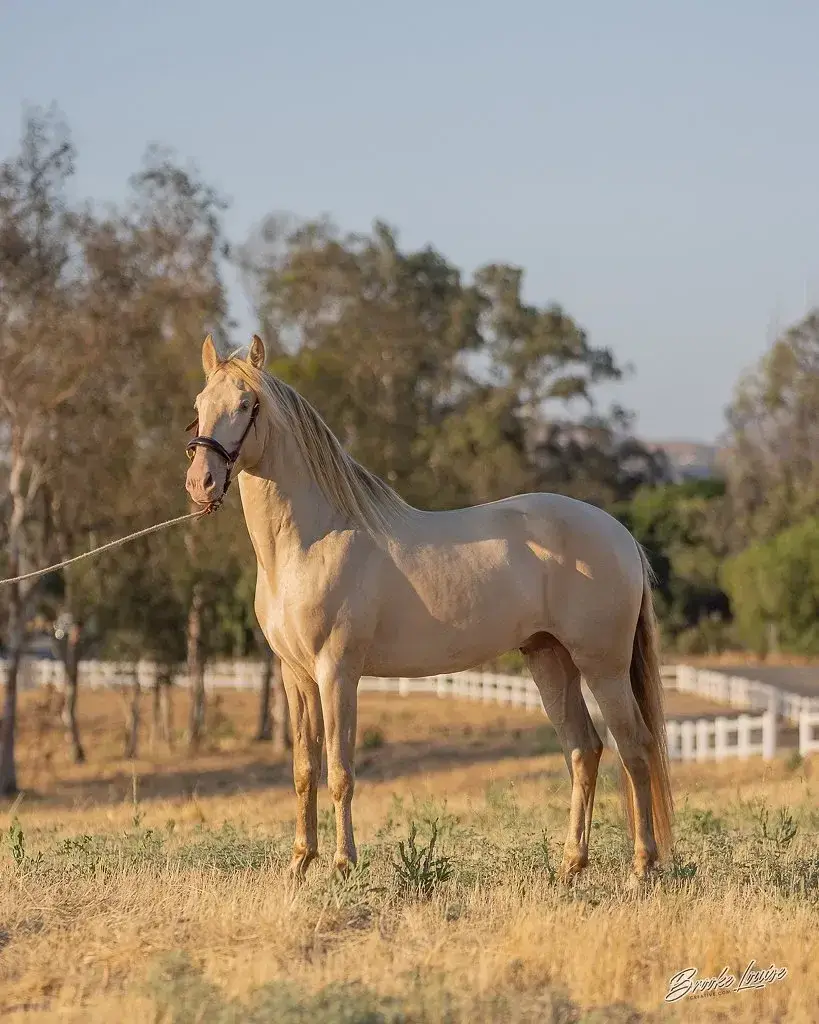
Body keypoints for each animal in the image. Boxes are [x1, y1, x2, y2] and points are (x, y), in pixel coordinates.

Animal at [185, 333, 673, 882]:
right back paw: (571, 866)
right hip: (551, 660)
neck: (311, 542)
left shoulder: (337, 672)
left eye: (248, 404)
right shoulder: (296, 675)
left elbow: (340, 770)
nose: (201, 483)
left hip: (603, 665)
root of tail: (620, 534)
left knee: (635, 747)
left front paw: (342, 865)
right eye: (199, 406)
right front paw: (299, 864)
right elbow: (304, 769)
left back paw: (642, 868)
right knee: (583, 750)